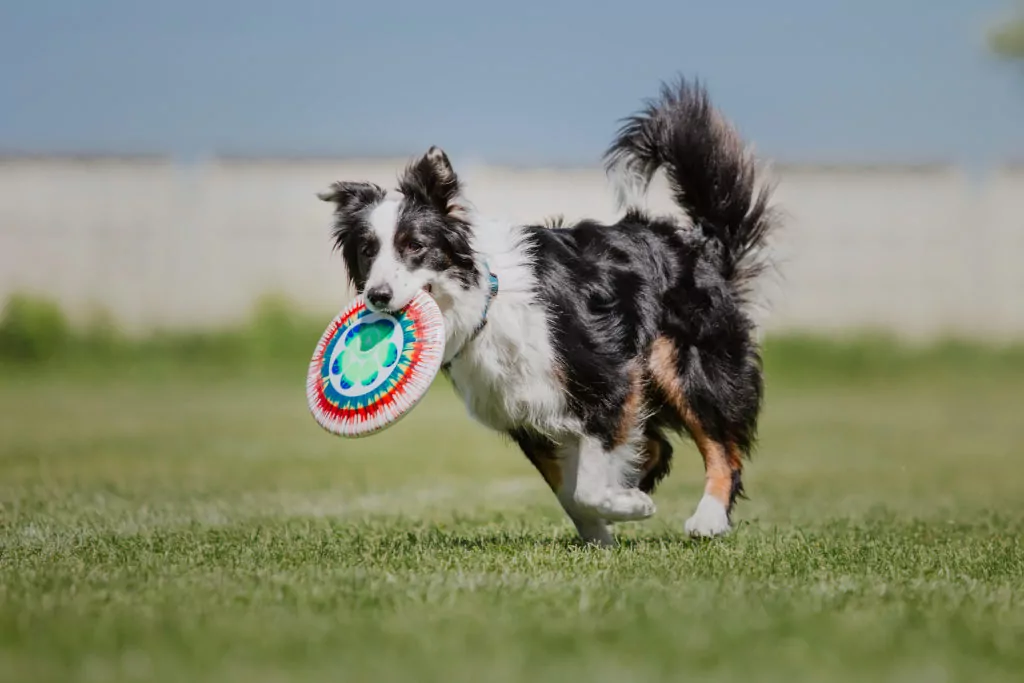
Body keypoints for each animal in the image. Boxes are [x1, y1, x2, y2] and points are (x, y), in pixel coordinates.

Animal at [317, 77, 774, 548]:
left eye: (415, 246)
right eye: (368, 250)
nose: (377, 296)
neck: (489, 299)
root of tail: (701, 242)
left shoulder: (607, 379)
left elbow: (588, 486)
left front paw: (630, 507)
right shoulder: (524, 413)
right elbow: (571, 494)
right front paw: (603, 533)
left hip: (684, 361)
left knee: (722, 447)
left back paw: (708, 518)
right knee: (660, 447)